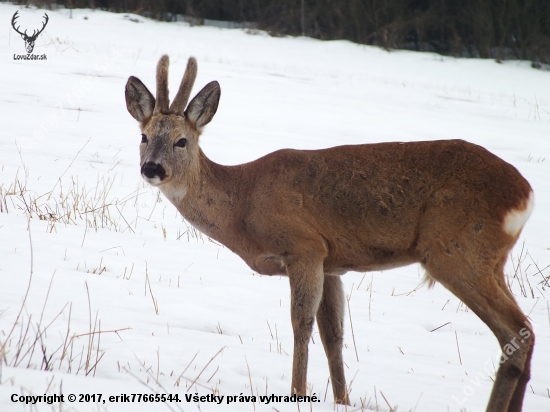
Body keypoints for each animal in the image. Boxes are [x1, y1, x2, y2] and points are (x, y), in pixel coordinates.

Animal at [126, 55, 536, 412]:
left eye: (181, 141)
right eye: (143, 136)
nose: (152, 169)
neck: (242, 202)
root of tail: (525, 193)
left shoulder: (304, 247)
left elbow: (301, 324)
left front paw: (297, 393)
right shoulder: (333, 263)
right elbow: (334, 335)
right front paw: (342, 400)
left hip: (455, 251)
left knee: (517, 332)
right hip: (490, 259)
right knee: (524, 332)